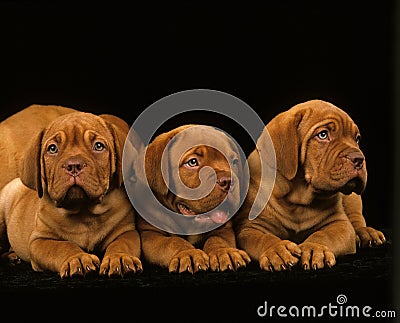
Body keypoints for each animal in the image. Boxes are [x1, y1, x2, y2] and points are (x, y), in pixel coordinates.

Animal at [0, 110, 143, 278]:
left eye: (98, 146)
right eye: (52, 149)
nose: (74, 165)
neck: (84, 210)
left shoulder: (127, 232)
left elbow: (122, 243)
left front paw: (119, 257)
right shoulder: (39, 240)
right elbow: (62, 246)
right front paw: (78, 258)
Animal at [126, 125, 248, 274]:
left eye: (234, 162)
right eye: (192, 162)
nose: (228, 181)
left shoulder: (225, 229)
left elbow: (218, 239)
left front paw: (224, 252)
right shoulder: (150, 234)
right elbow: (172, 242)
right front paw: (189, 253)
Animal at [234, 100, 384, 272]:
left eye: (357, 139)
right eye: (323, 135)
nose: (359, 158)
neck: (298, 198)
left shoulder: (340, 224)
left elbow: (324, 234)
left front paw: (314, 248)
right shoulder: (250, 227)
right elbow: (263, 238)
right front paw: (276, 250)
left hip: (353, 199)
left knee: (356, 218)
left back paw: (366, 233)